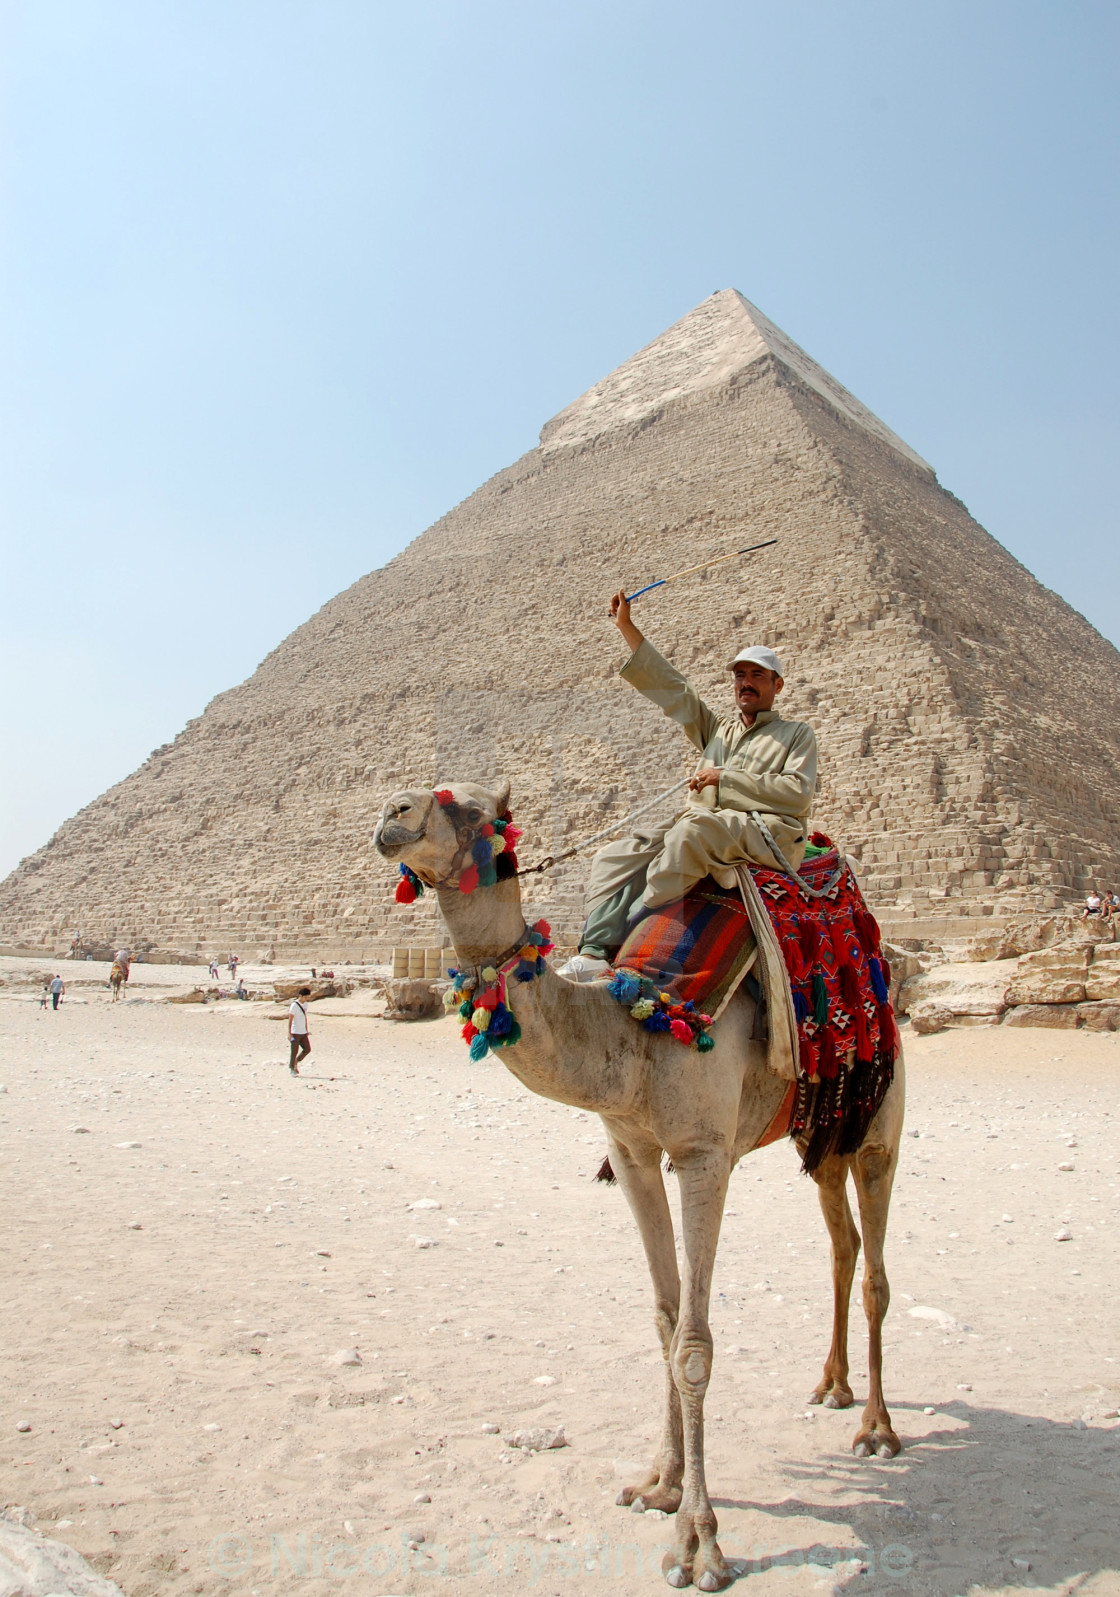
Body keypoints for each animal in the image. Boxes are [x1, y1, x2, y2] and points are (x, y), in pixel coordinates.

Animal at [373, 779, 901, 1590]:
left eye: (477, 812)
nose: (392, 815)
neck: (633, 1023)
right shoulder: (630, 1152)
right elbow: (663, 1319)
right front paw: (660, 1483)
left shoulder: (704, 1155)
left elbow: (694, 1344)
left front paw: (700, 1545)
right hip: (821, 1125)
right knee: (840, 1244)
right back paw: (832, 1386)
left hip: (880, 1121)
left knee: (874, 1267)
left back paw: (876, 1426)